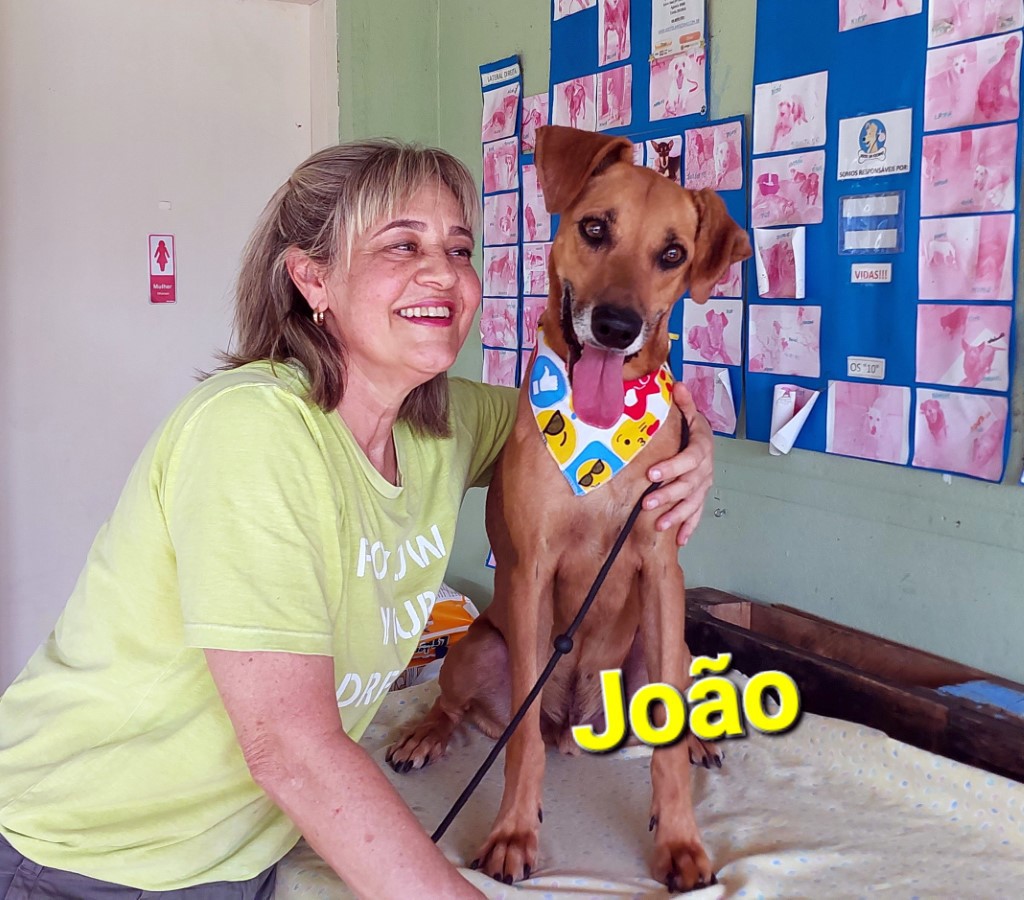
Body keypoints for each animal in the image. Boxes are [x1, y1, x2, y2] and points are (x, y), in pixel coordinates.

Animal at [387, 125, 751, 891]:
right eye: (595, 228)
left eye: (672, 254)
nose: (616, 325)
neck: (596, 438)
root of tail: (577, 730)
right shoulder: (530, 572)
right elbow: (520, 741)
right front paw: (512, 833)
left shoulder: (661, 568)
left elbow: (665, 751)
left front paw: (680, 839)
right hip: (479, 647)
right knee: (462, 705)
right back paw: (425, 734)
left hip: (666, 645)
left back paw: (700, 742)